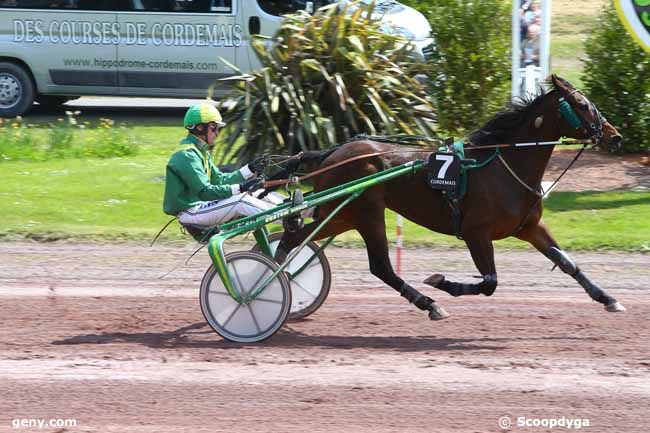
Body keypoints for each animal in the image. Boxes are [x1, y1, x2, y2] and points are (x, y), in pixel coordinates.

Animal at [272, 74, 624, 318]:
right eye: (582, 105)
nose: (615, 136)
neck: (505, 163)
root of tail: (331, 152)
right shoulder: (475, 232)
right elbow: (490, 281)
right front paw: (442, 282)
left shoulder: (529, 227)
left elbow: (567, 263)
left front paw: (608, 299)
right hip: (366, 212)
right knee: (380, 266)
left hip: (342, 215)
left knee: (295, 237)